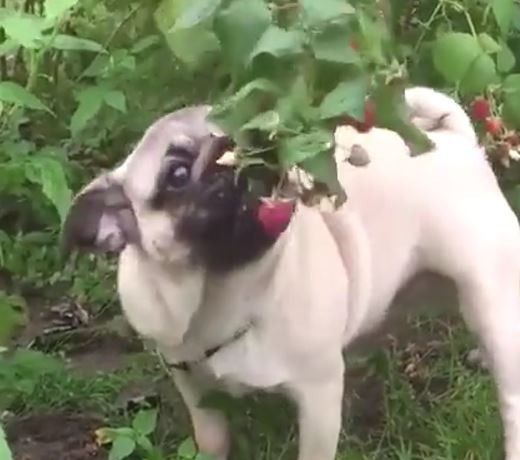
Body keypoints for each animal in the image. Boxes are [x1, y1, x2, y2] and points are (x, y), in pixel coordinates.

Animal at [63, 87, 520, 460]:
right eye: (176, 174)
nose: (239, 146)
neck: (223, 293)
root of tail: (453, 140)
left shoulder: (318, 395)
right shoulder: (191, 384)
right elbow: (213, 439)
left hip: (488, 293)